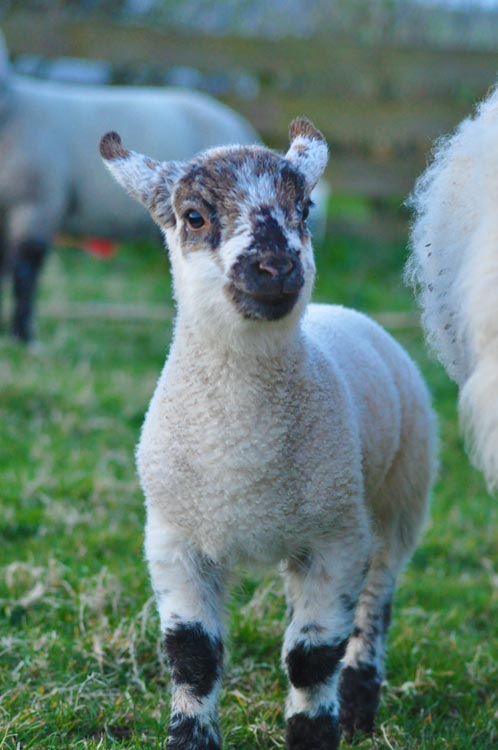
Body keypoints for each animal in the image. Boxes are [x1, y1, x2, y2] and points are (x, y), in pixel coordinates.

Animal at [100, 118, 436, 750]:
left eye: (304, 208)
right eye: (194, 216)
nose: (277, 268)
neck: (241, 454)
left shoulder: (337, 537)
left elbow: (312, 656)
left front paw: (313, 733)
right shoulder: (174, 539)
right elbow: (193, 655)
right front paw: (189, 737)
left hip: (400, 498)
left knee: (375, 604)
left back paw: (359, 705)